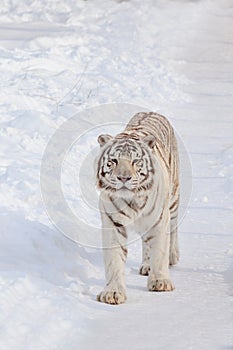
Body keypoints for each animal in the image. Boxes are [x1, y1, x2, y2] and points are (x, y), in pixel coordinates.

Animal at [95, 112, 179, 304]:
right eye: (113, 161)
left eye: (136, 161)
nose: (123, 178)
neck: (133, 200)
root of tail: (152, 112)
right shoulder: (113, 223)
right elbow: (114, 259)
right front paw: (113, 292)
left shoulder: (159, 218)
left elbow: (160, 250)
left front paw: (160, 281)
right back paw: (146, 265)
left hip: (173, 199)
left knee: (173, 228)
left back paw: (172, 256)